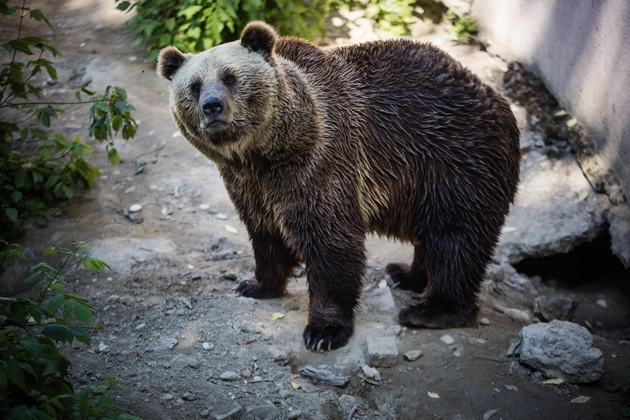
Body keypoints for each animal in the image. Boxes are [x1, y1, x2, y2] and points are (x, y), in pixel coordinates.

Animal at [158, 22, 524, 352]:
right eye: (194, 86)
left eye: (230, 77)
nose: (212, 106)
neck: (263, 152)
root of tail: (496, 96)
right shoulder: (249, 184)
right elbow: (265, 233)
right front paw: (255, 284)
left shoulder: (320, 161)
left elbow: (330, 240)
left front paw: (324, 331)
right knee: (432, 234)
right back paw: (405, 273)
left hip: (456, 158)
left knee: (455, 237)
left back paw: (432, 310)